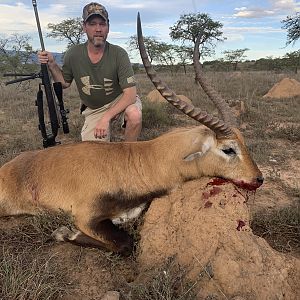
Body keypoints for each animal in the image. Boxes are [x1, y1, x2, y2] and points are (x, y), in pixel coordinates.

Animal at [0, 14, 262, 255]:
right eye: (228, 149)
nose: (258, 179)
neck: (137, 160)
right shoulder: (85, 216)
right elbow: (125, 244)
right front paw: (63, 233)